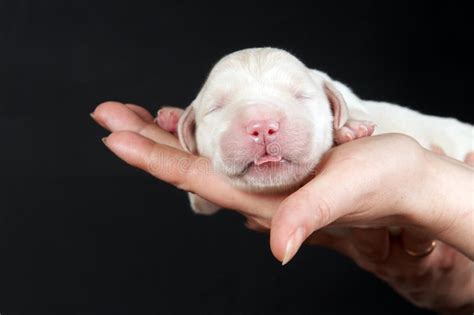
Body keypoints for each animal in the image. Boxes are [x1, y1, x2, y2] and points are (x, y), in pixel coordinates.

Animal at [156, 47, 474, 215]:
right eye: (216, 107)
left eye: (301, 95)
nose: (262, 126)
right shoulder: (202, 201)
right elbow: (203, 202)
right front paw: (173, 118)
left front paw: (351, 128)